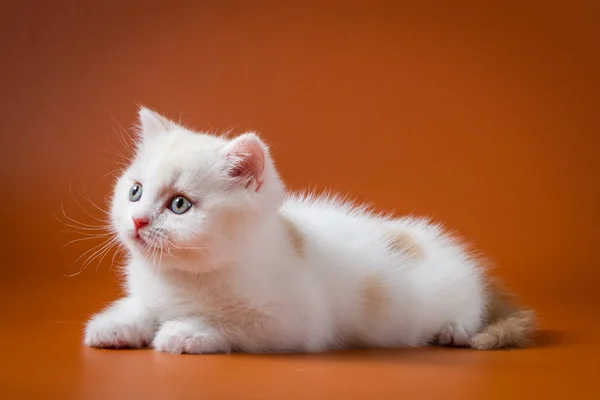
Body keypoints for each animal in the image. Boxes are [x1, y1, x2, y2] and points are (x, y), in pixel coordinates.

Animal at [82, 108, 536, 354]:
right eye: (135, 192)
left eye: (179, 205)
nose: (138, 221)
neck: (184, 277)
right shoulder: (152, 292)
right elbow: (142, 307)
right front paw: (116, 324)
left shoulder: (297, 323)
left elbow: (235, 325)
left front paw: (186, 331)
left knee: (469, 313)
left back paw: (452, 330)